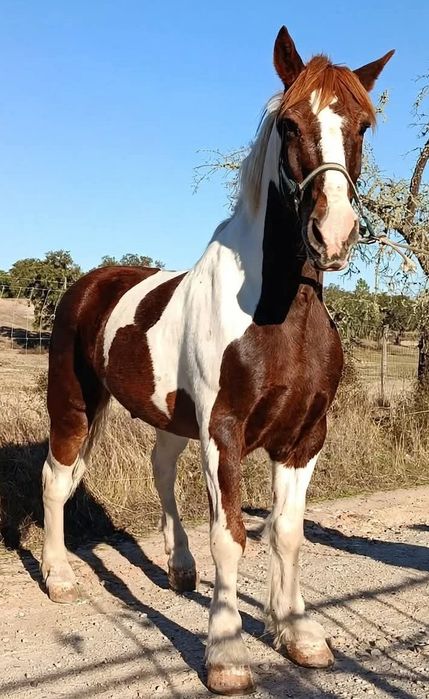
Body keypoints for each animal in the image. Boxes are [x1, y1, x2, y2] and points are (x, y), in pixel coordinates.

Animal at [40, 26, 394, 696]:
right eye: (288, 124)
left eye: (363, 125)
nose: (333, 234)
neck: (276, 314)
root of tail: (91, 282)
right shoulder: (223, 432)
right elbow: (229, 536)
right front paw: (227, 654)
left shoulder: (304, 437)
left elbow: (286, 532)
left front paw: (297, 633)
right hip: (74, 403)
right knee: (56, 478)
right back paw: (60, 577)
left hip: (173, 419)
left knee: (158, 468)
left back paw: (179, 568)